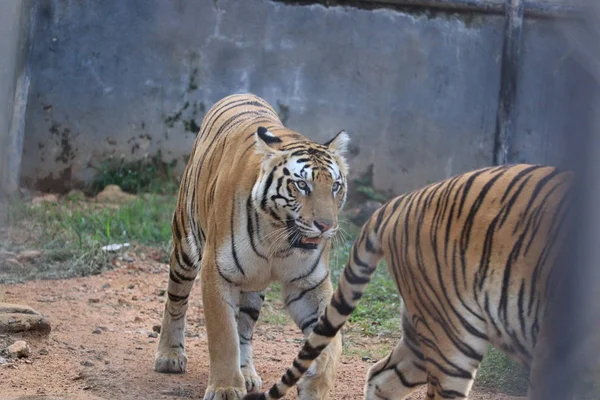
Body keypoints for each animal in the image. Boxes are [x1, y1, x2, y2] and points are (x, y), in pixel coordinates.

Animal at [155, 94, 350, 400]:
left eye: (335, 187)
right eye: (301, 185)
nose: (325, 225)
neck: (278, 239)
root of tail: (241, 94)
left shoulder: (309, 285)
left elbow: (330, 343)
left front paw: (314, 386)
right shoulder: (216, 272)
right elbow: (224, 335)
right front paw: (225, 388)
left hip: (253, 284)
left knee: (245, 328)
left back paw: (246, 374)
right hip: (185, 247)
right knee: (176, 300)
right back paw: (170, 355)